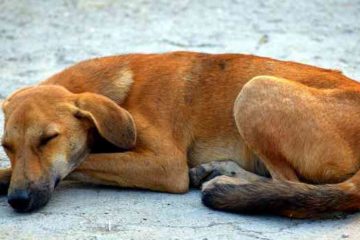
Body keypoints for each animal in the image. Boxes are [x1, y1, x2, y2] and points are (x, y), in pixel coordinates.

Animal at [0, 51, 360, 218]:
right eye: (7, 147)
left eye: (48, 139)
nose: (18, 201)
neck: (122, 93)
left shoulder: (166, 166)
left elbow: (84, 160)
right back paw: (222, 173)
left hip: (254, 90)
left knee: (292, 188)